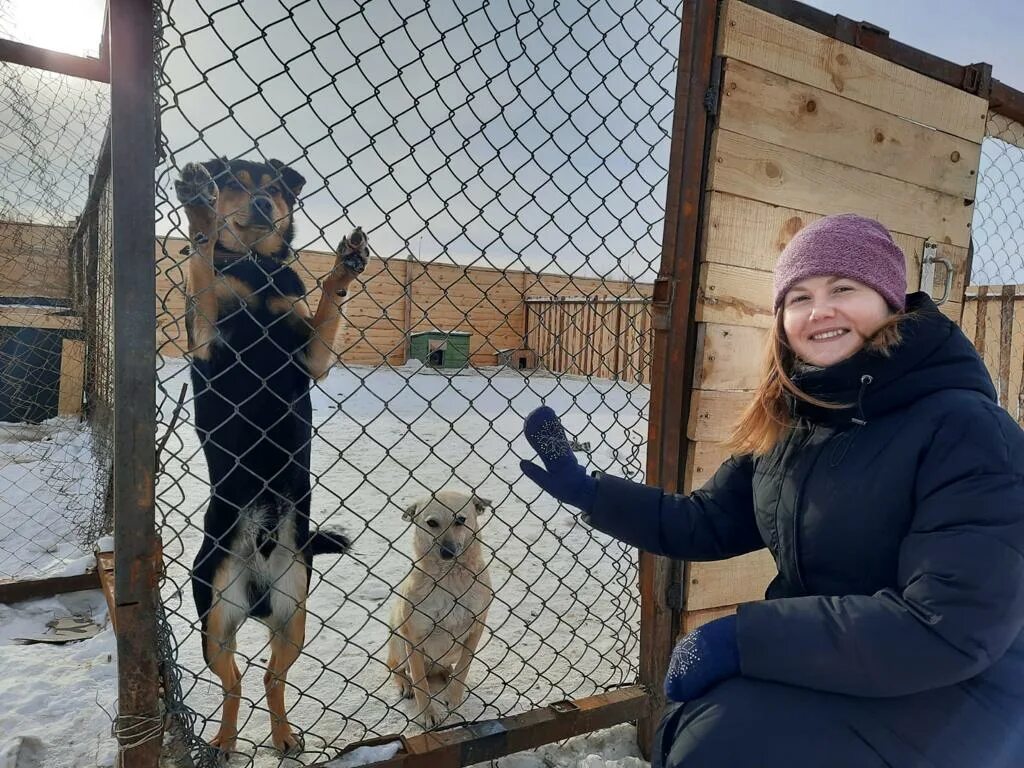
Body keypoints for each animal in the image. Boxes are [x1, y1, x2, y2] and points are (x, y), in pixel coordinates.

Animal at [174, 156, 370, 757]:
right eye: (235, 183)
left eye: (278, 189)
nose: (263, 204)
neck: (258, 269)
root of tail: (258, 590)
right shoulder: (206, 341)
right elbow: (202, 267)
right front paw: (199, 214)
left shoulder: (312, 357)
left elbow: (329, 302)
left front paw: (344, 267)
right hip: (216, 613)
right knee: (234, 681)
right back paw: (222, 740)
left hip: (293, 615)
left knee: (270, 677)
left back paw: (284, 736)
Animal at [385, 489, 493, 729]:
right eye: (432, 523)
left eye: (460, 520)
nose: (447, 552)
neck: (448, 577)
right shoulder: (414, 638)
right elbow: (420, 684)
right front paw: (427, 714)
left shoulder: (475, 630)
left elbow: (464, 668)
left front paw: (454, 696)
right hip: (399, 638)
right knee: (394, 666)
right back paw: (404, 684)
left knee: (447, 669)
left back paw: (447, 675)